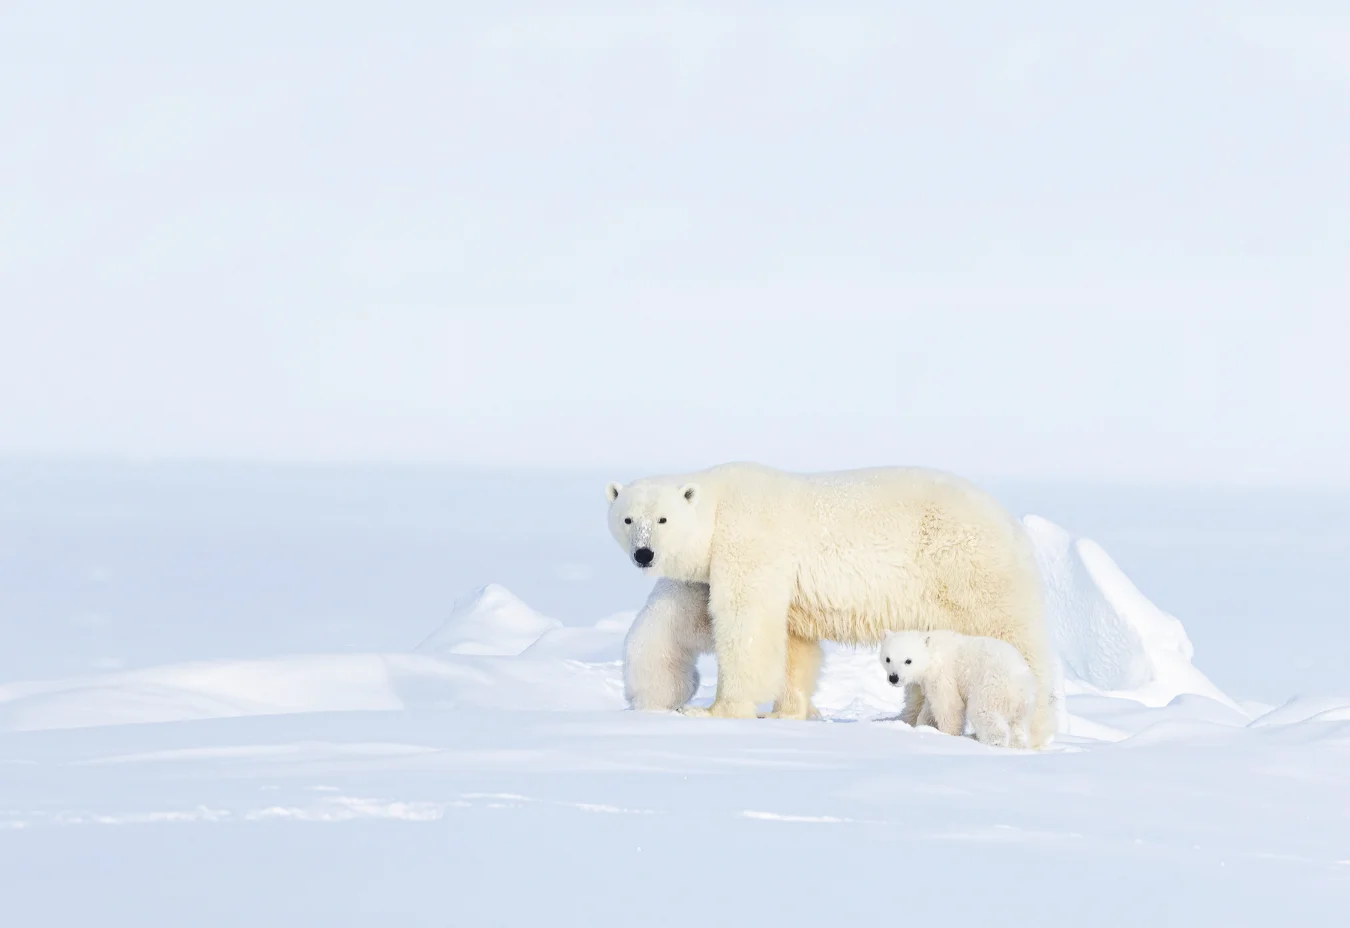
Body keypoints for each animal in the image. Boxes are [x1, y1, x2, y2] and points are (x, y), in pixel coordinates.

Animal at [880, 629, 1036, 748]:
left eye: (908, 661)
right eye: (888, 659)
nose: (893, 677)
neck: (932, 651)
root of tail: (1019, 688)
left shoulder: (943, 674)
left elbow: (949, 706)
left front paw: (948, 734)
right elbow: (930, 707)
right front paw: (924, 725)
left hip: (990, 689)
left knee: (985, 715)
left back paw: (994, 743)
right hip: (1024, 706)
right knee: (1019, 727)